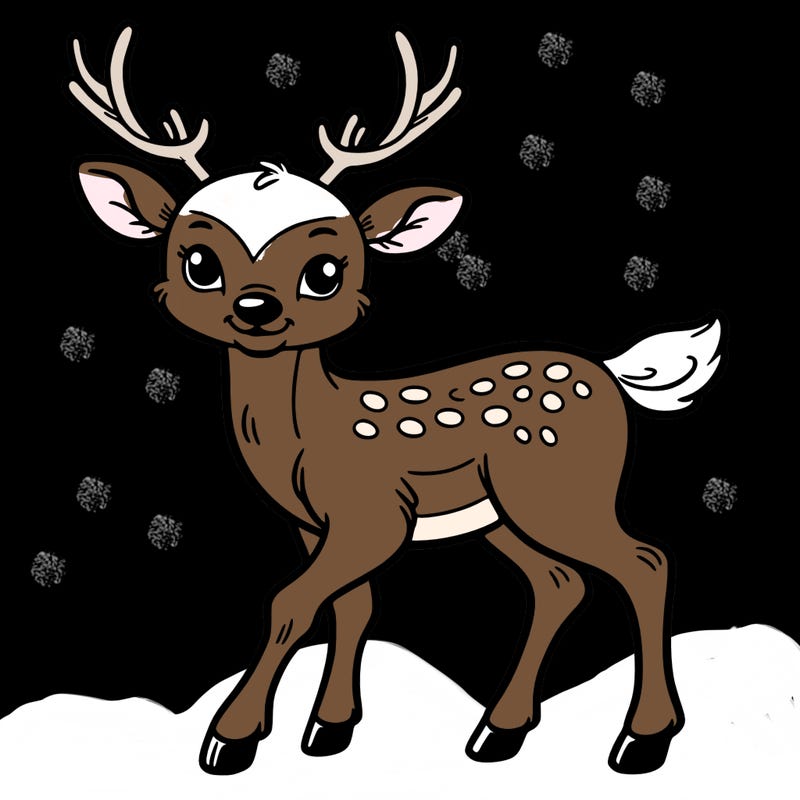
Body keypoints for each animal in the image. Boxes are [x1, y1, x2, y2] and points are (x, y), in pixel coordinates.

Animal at [68, 26, 722, 776]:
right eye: (199, 263)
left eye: (325, 270)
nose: (257, 310)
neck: (307, 437)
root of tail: (612, 375)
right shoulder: (315, 525)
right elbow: (352, 605)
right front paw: (328, 729)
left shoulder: (372, 513)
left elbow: (290, 601)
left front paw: (230, 739)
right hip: (503, 513)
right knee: (560, 582)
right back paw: (499, 731)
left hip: (560, 490)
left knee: (645, 562)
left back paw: (642, 740)